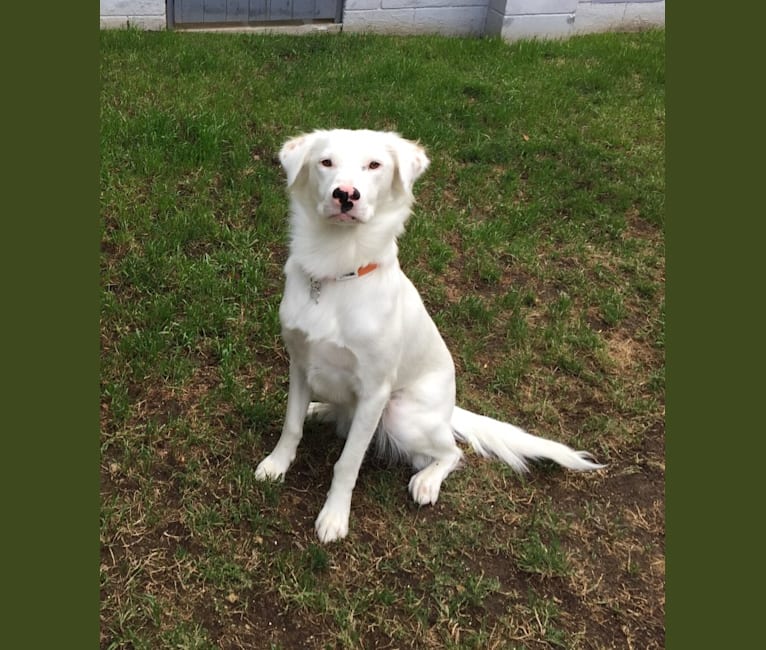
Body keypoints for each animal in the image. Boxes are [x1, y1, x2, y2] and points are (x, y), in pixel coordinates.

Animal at [255, 128, 604, 540]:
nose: (346, 195)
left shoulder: (375, 390)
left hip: (401, 415)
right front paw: (277, 464)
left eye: (374, 165)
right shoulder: (299, 362)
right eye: (326, 162)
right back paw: (320, 409)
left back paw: (427, 481)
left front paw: (334, 516)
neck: (337, 269)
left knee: (450, 452)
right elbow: (290, 426)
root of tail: (448, 411)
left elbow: (348, 462)